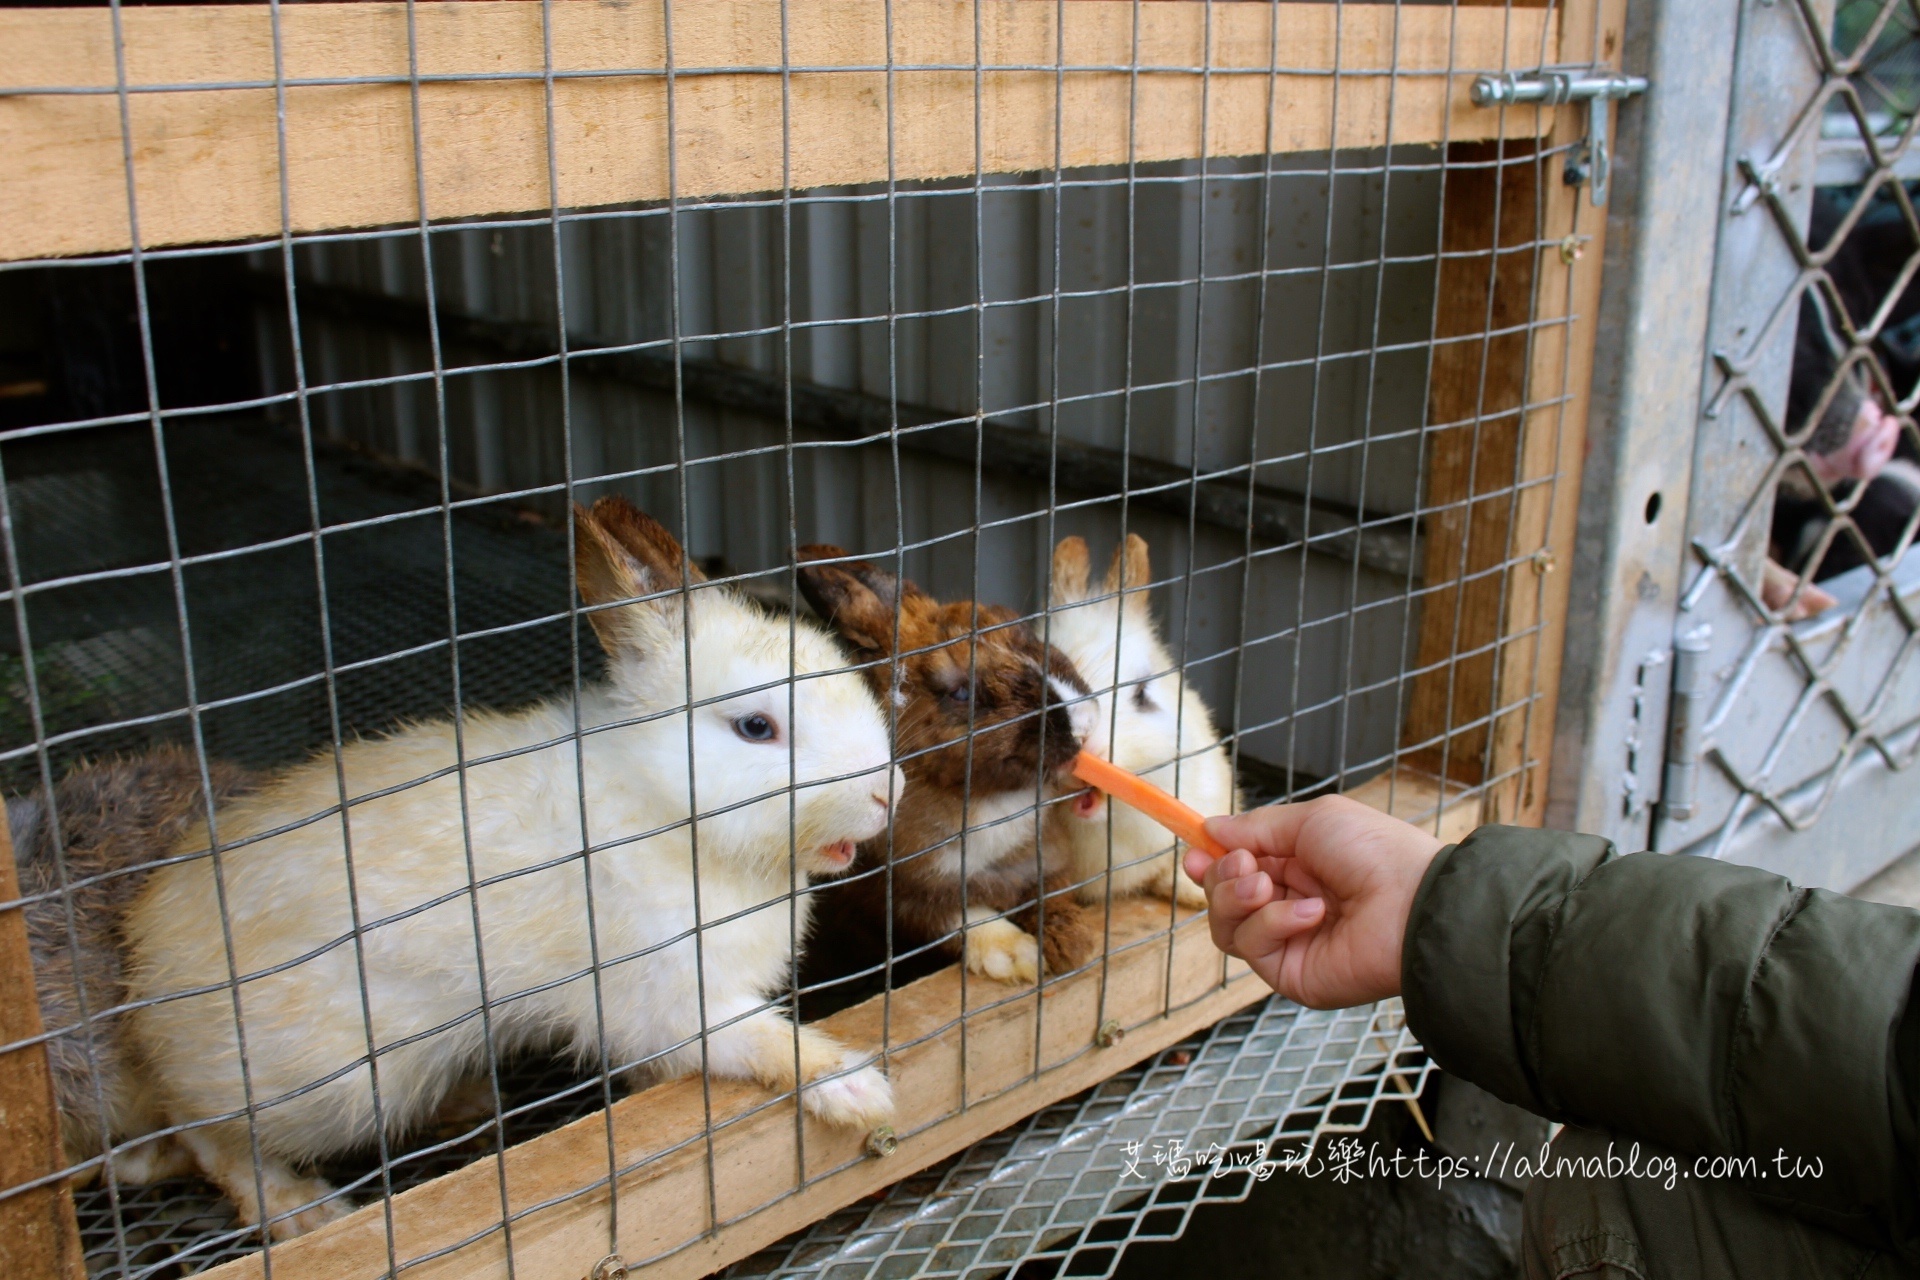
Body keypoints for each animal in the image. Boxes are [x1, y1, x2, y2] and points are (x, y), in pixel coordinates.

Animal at [123, 498, 902, 1243]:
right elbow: (764, 1042)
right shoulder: (671, 1004)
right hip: (330, 1084)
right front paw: (858, 1090)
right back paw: (299, 1209)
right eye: (755, 728)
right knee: (210, 1137)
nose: (886, 791)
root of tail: (143, 986)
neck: (668, 807)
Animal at [791, 545, 1098, 990]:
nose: (1086, 725)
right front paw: (1018, 957)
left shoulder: (1046, 863)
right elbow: (962, 918)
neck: (991, 801)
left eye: (1016, 623)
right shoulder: (902, 898)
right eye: (961, 693)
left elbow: (1052, 896)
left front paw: (1074, 941)